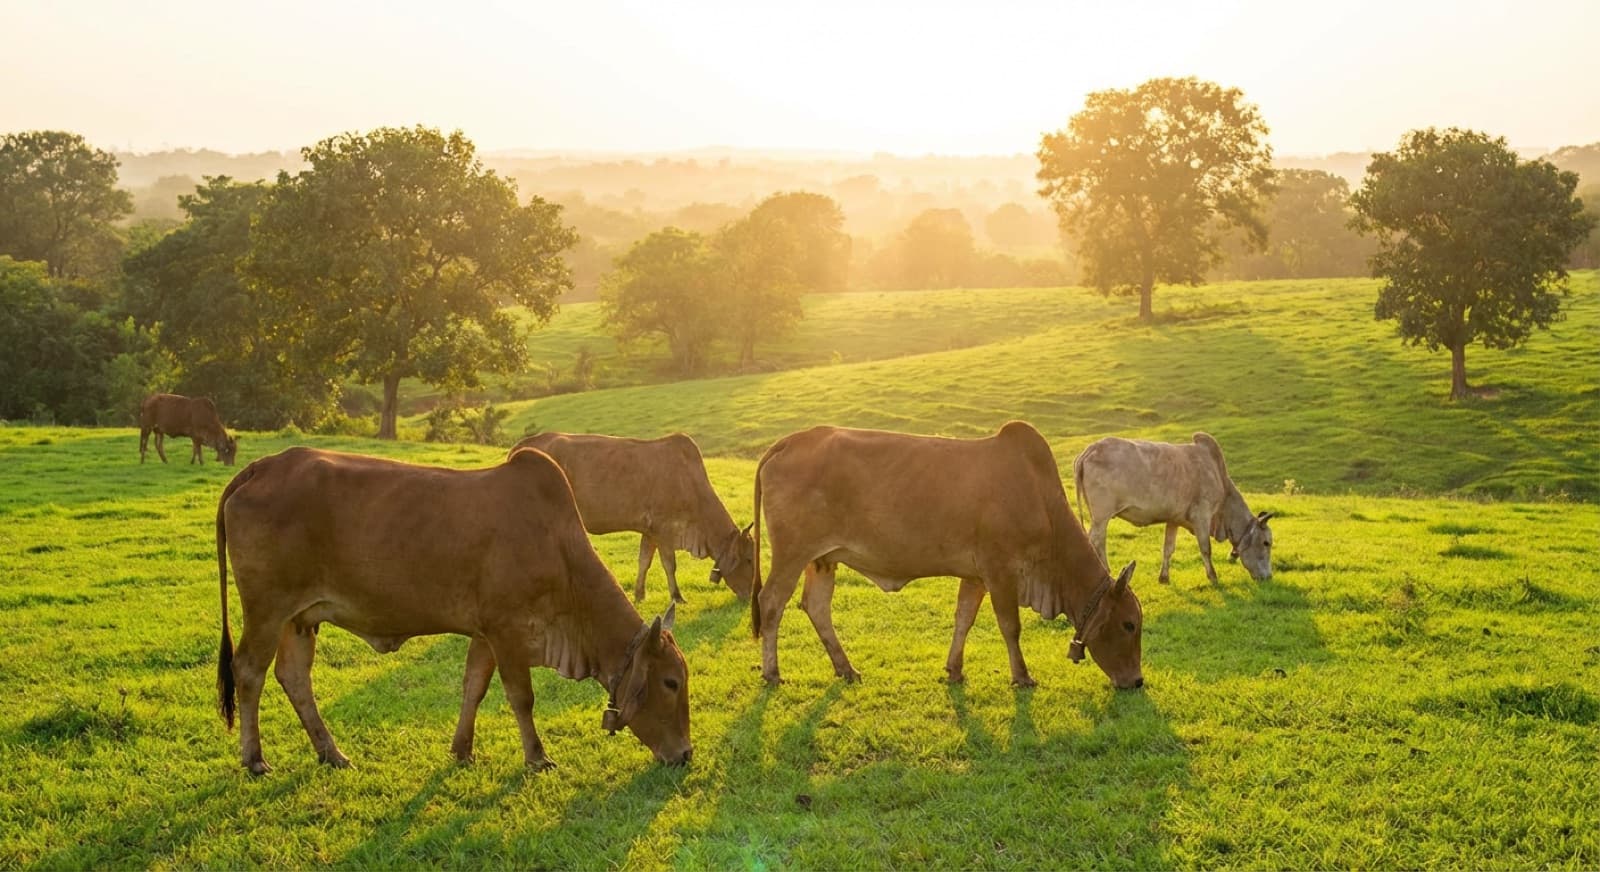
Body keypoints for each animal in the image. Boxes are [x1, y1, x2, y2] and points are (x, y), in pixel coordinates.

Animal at [214, 446, 692, 774]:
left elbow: (473, 688)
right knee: (249, 671)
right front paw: (537, 757)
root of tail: (262, 466)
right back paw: (254, 758)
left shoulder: (484, 633)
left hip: (299, 618)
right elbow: (522, 698)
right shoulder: (506, 631)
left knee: (293, 677)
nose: (686, 754)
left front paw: (462, 749)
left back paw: (331, 753)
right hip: (267, 608)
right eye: (671, 682)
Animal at [512, 432, 756, 604]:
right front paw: (677, 596)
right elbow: (670, 565)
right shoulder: (664, 530)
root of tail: (520, 446)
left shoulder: (649, 531)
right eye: (749, 559)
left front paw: (639, 594)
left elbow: (644, 562)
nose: (749, 597)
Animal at [749, 421, 1143, 690]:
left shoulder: (975, 576)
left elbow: (963, 619)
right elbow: (1010, 626)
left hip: (823, 559)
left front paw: (955, 669)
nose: (1137, 681)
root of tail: (787, 441)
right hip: (791, 553)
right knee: (771, 602)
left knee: (816, 607)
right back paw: (772, 672)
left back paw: (846, 668)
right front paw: (1022, 676)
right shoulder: (1000, 571)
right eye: (1129, 625)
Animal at [1073, 432, 1274, 585]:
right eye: (1266, 543)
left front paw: (1164, 577)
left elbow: (1168, 548)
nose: (1268, 577)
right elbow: (1206, 549)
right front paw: (1213, 577)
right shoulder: (1202, 516)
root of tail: (1090, 449)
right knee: (1094, 540)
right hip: (1101, 516)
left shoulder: (1174, 519)